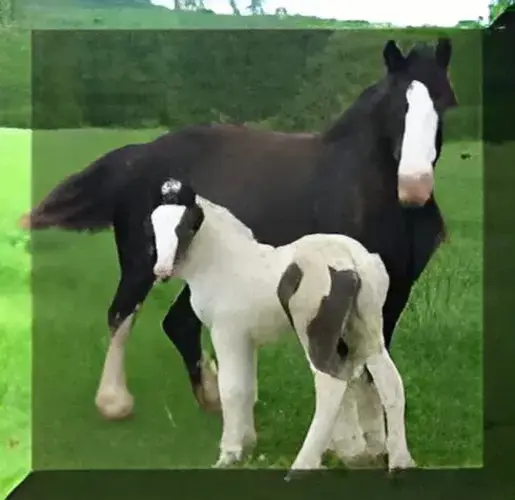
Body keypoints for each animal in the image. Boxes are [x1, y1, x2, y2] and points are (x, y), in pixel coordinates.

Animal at [22, 39, 460, 456]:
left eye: (444, 101)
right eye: (396, 104)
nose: (414, 186)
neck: (365, 192)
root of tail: (140, 155)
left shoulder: (393, 291)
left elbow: (370, 364)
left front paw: (377, 444)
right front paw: (347, 444)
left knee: (178, 323)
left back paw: (216, 399)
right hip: (142, 262)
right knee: (121, 314)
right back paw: (115, 402)